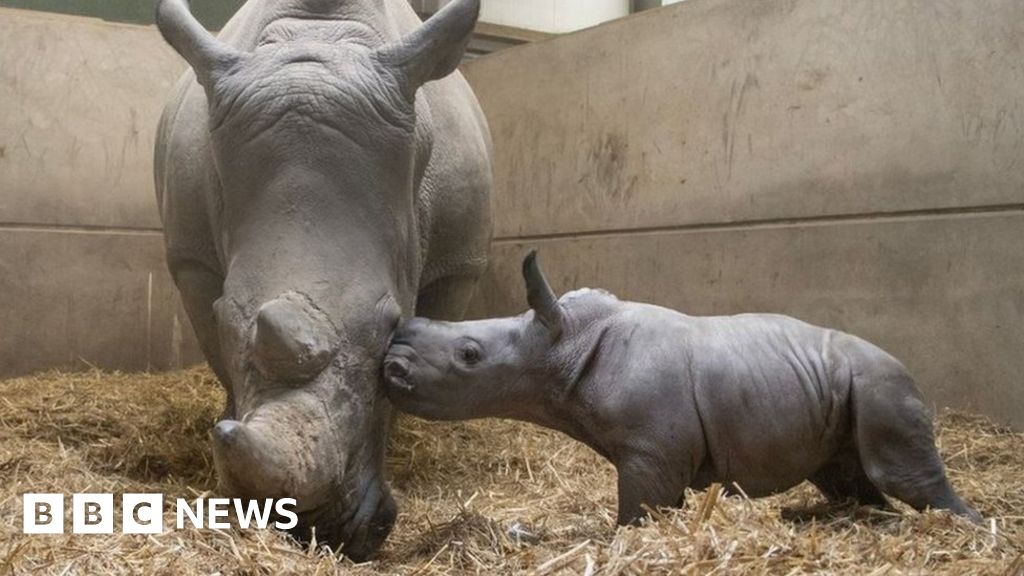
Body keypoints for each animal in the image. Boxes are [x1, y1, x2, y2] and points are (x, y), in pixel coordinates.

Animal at [149, 0, 493, 557]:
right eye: (223, 318)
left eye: (392, 325)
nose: (306, 528)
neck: (321, 34)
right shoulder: (192, 260)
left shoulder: (458, 264)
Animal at [385, 251, 983, 524]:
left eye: (469, 356)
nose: (391, 364)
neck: (561, 343)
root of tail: (906, 368)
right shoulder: (658, 450)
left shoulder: (649, 449)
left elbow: (637, 511)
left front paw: (625, 539)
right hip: (843, 389)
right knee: (845, 474)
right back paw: (867, 519)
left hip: (880, 383)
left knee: (899, 469)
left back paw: (967, 525)